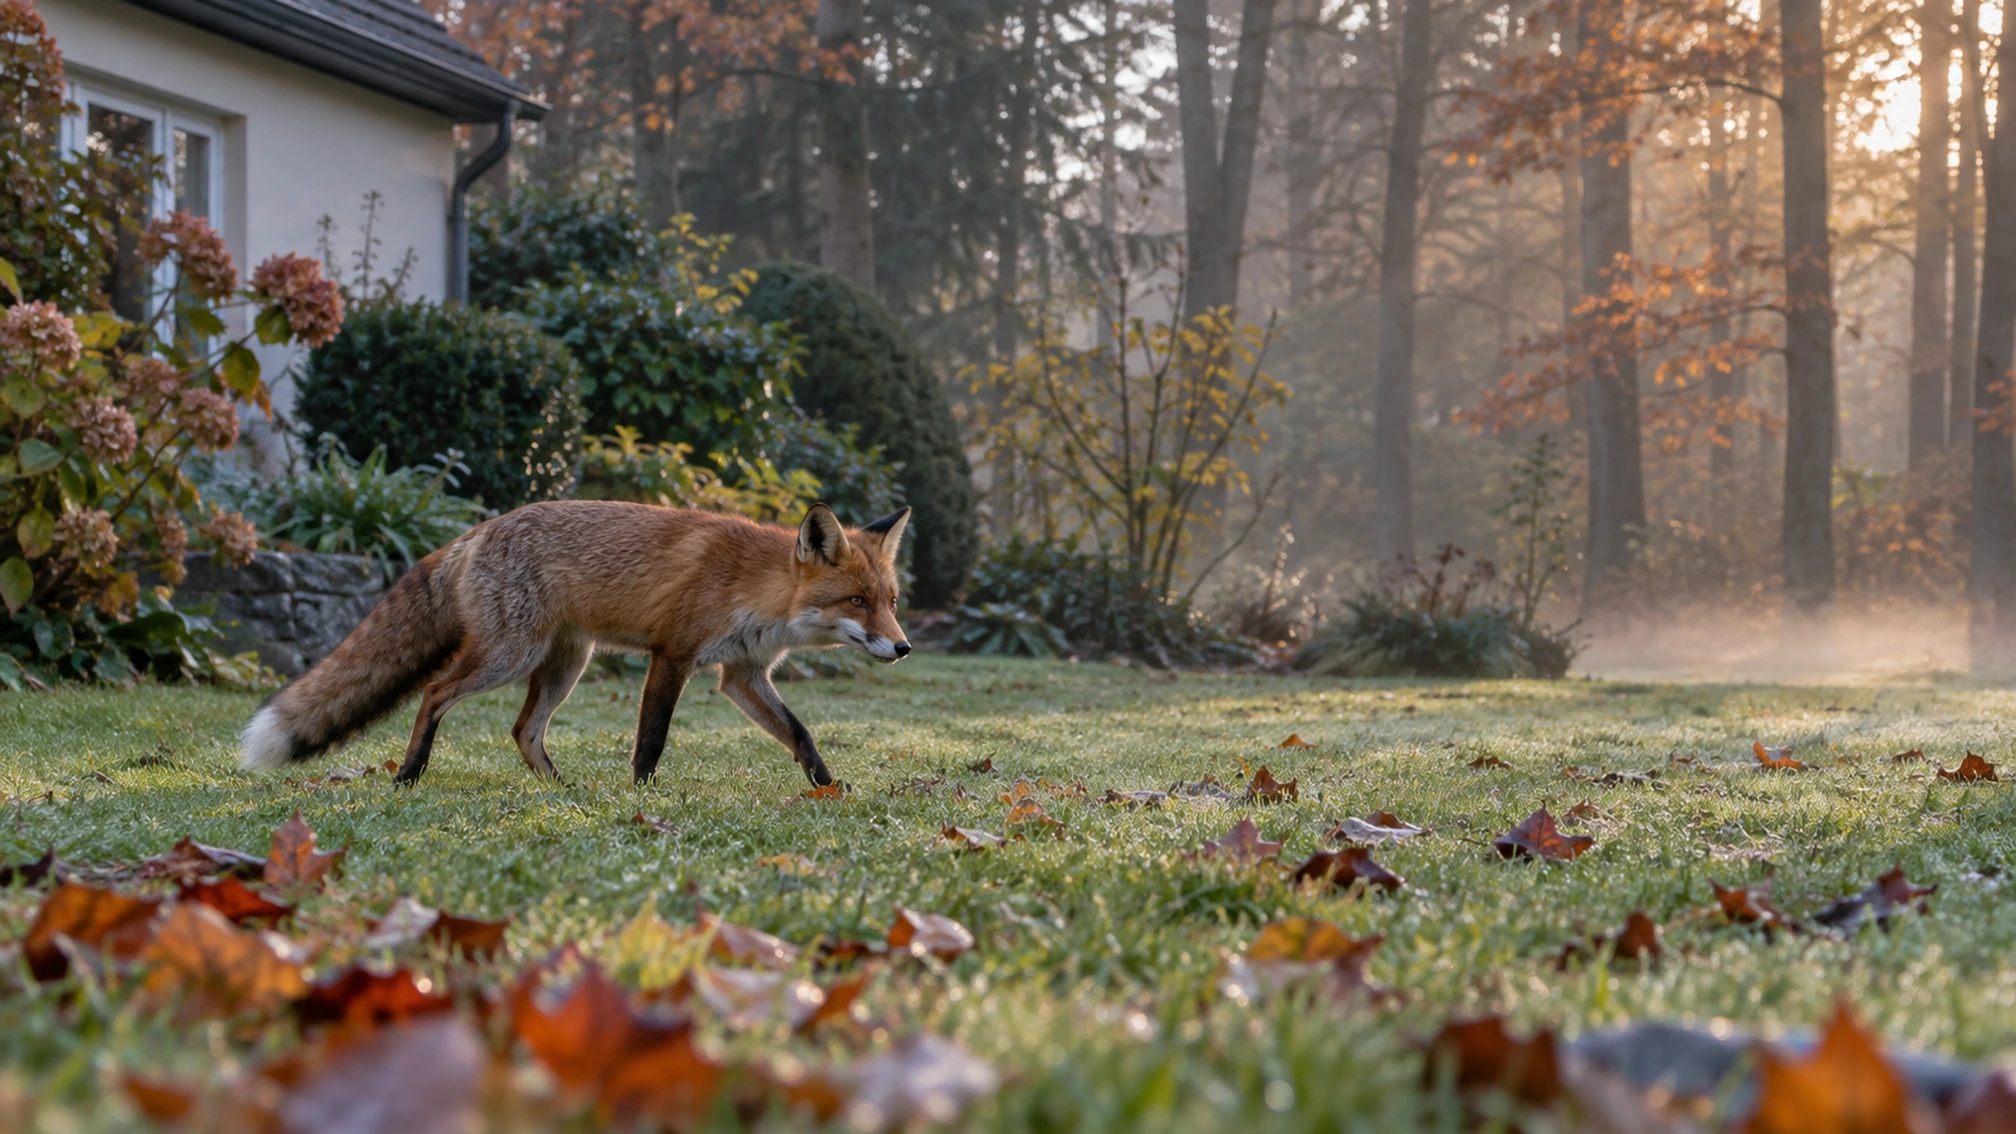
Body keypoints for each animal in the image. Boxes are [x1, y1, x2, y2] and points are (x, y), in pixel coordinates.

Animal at [238, 500, 912, 788]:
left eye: (892, 601)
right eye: (857, 602)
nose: (904, 648)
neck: (756, 586)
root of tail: (476, 530)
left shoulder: (742, 674)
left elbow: (801, 734)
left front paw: (827, 788)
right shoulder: (673, 655)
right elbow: (651, 740)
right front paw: (641, 796)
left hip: (564, 663)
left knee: (523, 730)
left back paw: (562, 789)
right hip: (510, 656)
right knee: (434, 692)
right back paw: (409, 774)